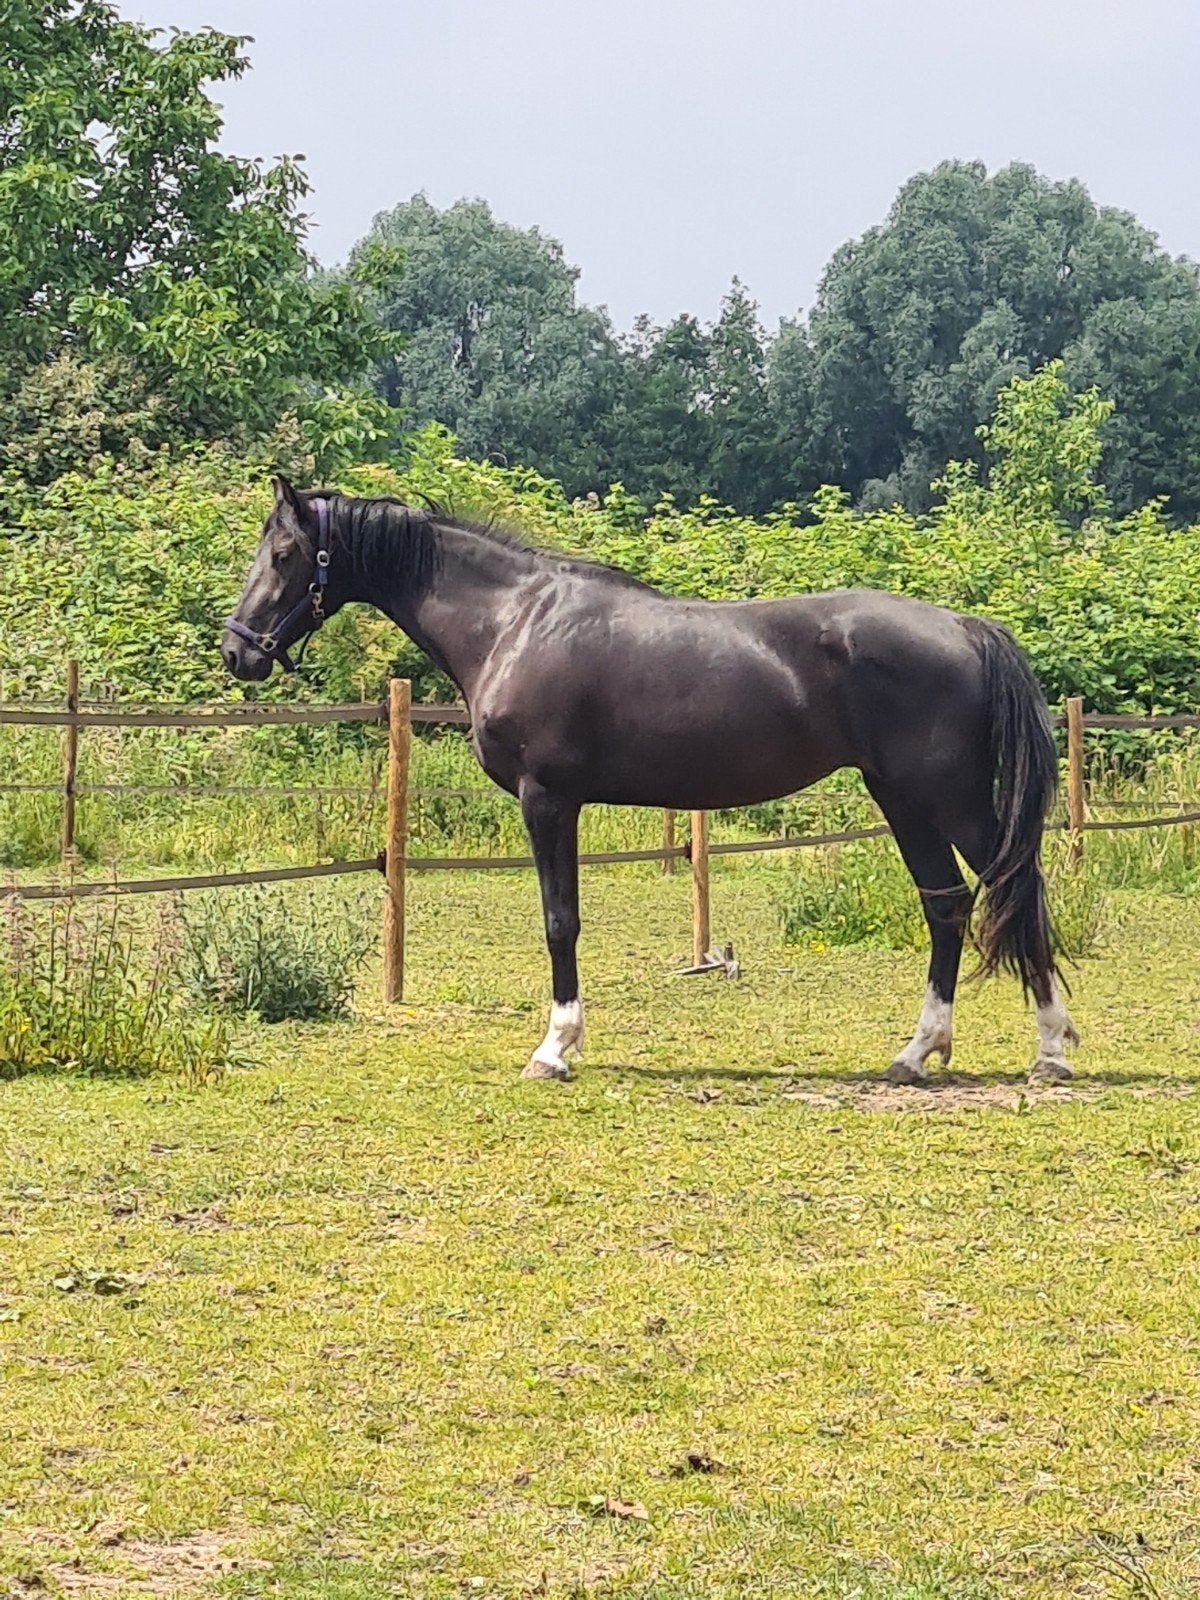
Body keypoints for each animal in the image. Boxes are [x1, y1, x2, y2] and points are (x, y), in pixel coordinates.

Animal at [223, 477, 1079, 1087]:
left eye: (285, 555)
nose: (238, 651)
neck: (512, 621)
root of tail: (965, 627)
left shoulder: (548, 799)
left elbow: (559, 922)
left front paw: (555, 1049)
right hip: (902, 800)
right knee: (948, 905)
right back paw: (917, 1052)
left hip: (950, 801)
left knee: (1016, 889)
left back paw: (1051, 1051)